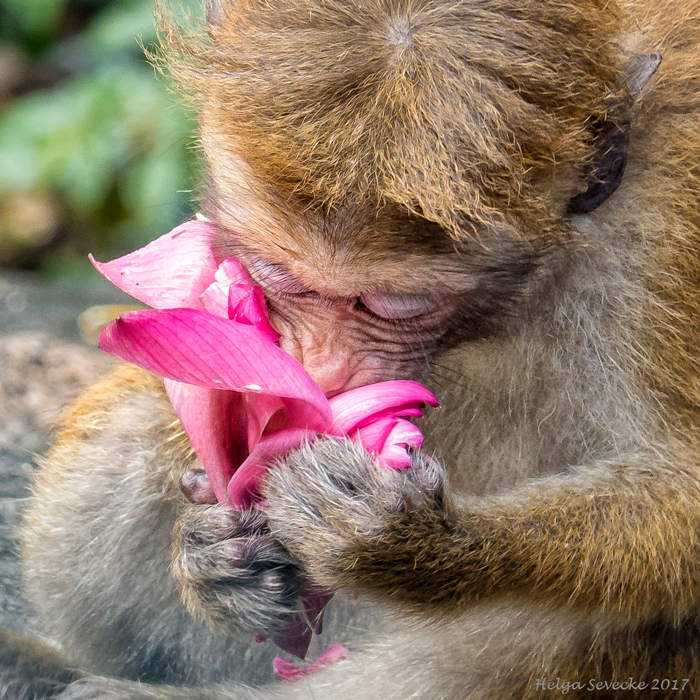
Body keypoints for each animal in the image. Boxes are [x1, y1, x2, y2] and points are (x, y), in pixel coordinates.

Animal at [9, 0, 700, 696]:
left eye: (397, 305)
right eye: (279, 276)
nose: (318, 370)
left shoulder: (671, 237)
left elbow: (682, 487)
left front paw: (410, 541)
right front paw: (215, 557)